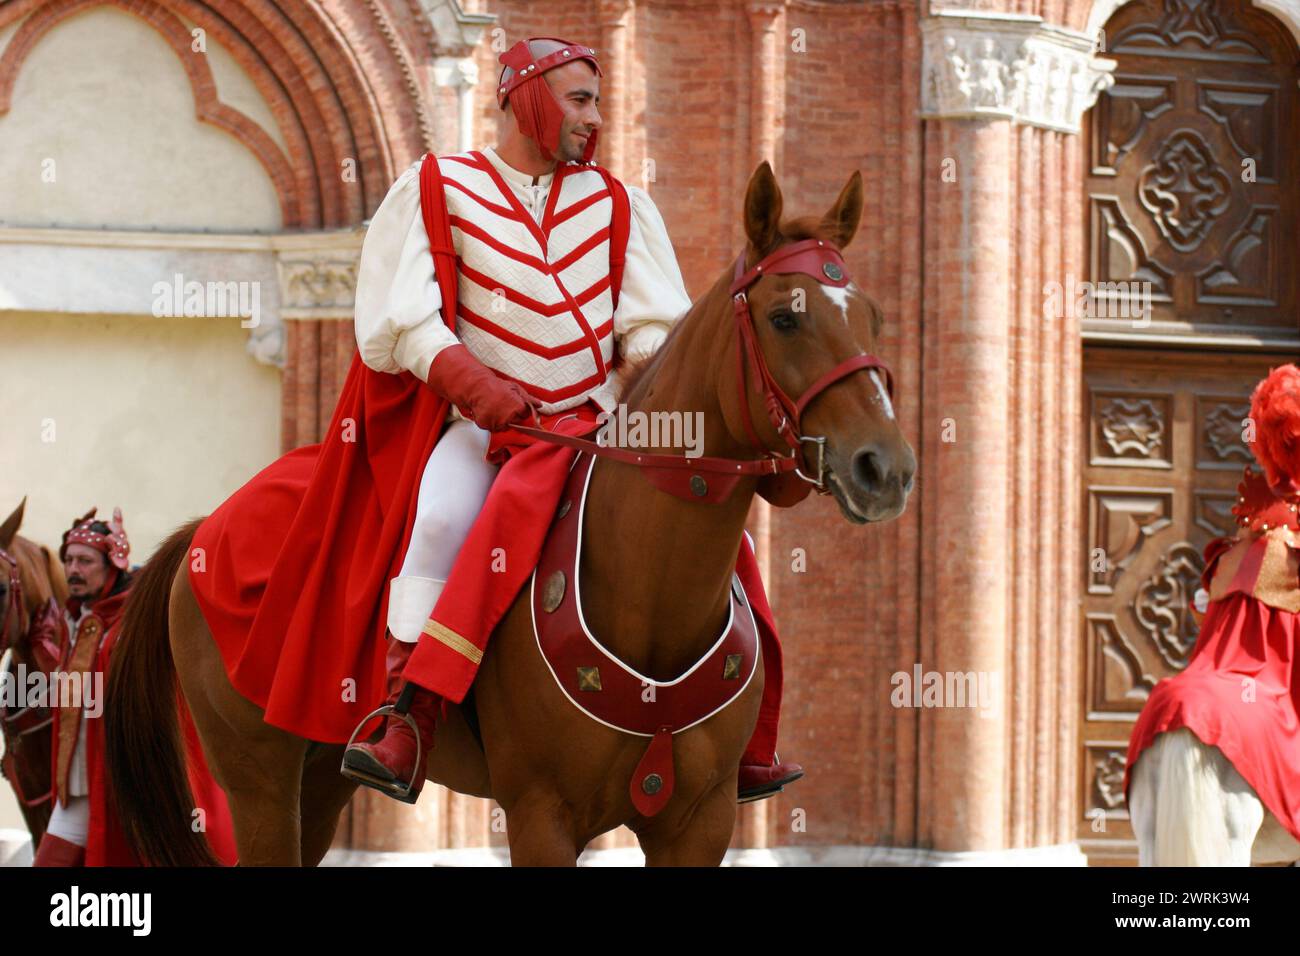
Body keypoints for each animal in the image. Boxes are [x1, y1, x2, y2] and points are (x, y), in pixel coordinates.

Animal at [104, 164, 915, 868]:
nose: (887, 467)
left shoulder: (701, 822)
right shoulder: (541, 815)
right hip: (259, 782)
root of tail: (205, 528)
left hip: (320, 777)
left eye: (876, 316)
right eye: (784, 318)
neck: (651, 599)